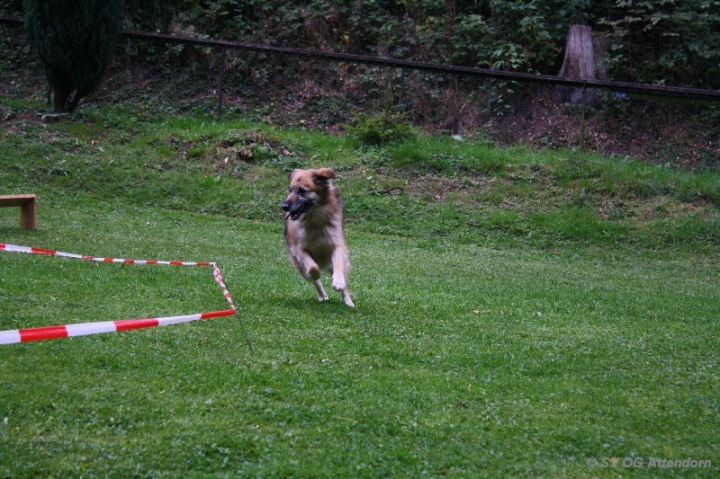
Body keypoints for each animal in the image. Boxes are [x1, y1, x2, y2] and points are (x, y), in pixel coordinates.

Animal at [284, 168, 358, 308]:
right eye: (290, 190)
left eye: (302, 190)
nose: (284, 206)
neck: (315, 220)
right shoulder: (298, 249)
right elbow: (313, 268)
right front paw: (316, 274)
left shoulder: (337, 245)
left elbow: (338, 265)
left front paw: (338, 283)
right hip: (299, 266)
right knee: (315, 281)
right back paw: (322, 295)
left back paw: (348, 302)